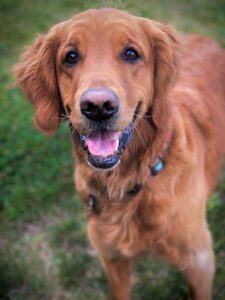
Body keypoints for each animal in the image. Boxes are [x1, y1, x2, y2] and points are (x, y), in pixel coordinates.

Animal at [13, 7, 225, 300]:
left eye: (131, 53)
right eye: (70, 56)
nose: (98, 106)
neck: (128, 184)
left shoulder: (200, 262)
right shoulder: (113, 259)